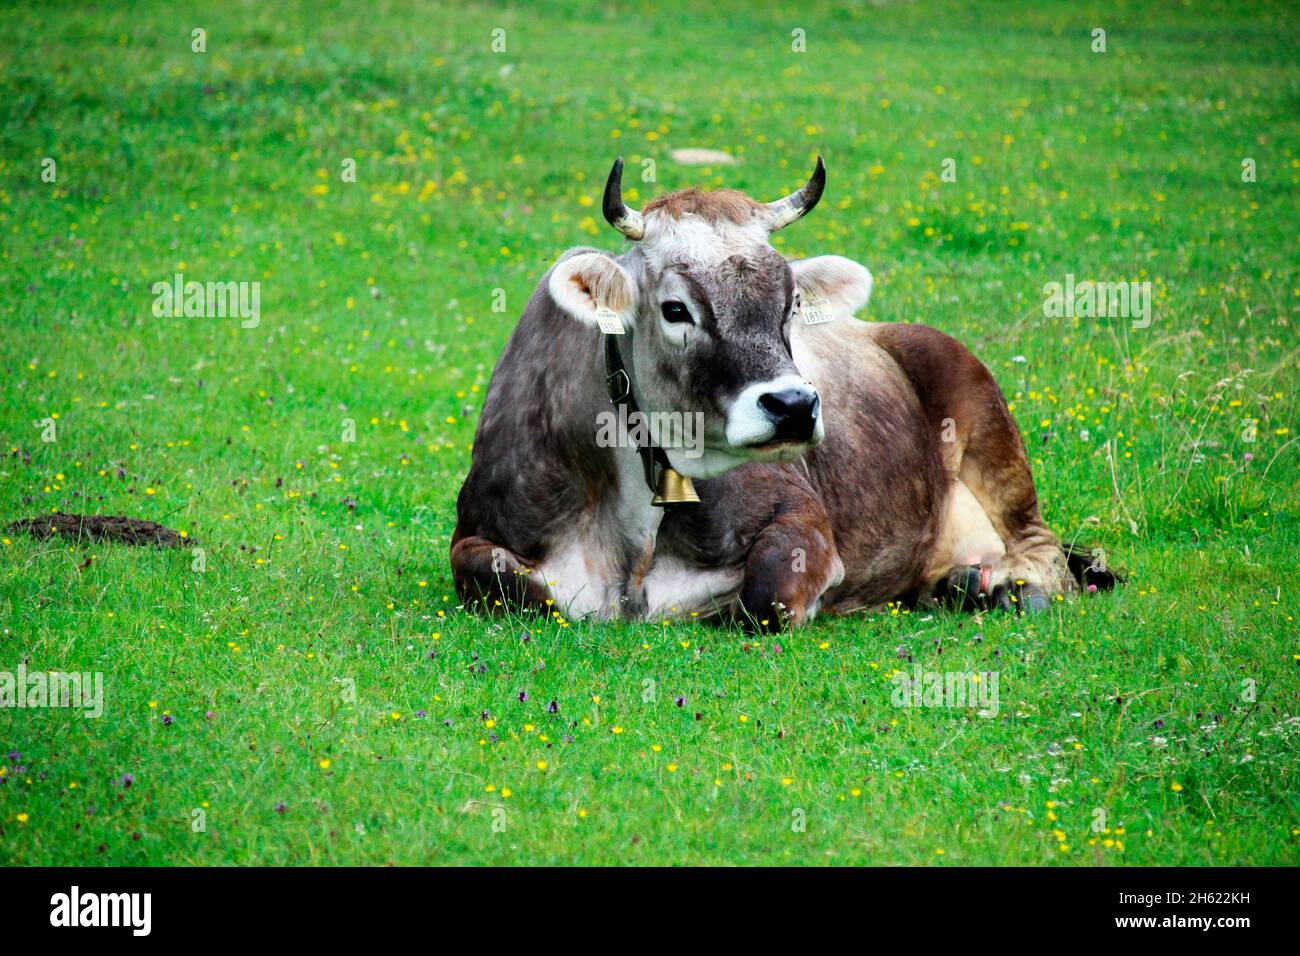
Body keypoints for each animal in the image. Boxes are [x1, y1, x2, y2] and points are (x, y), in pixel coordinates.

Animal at [452, 157, 1102, 632]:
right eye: (675, 309)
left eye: (791, 303)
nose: (793, 407)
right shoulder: (478, 531)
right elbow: (495, 576)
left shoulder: (802, 516)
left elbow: (767, 595)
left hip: (988, 422)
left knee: (1042, 546)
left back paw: (1008, 588)